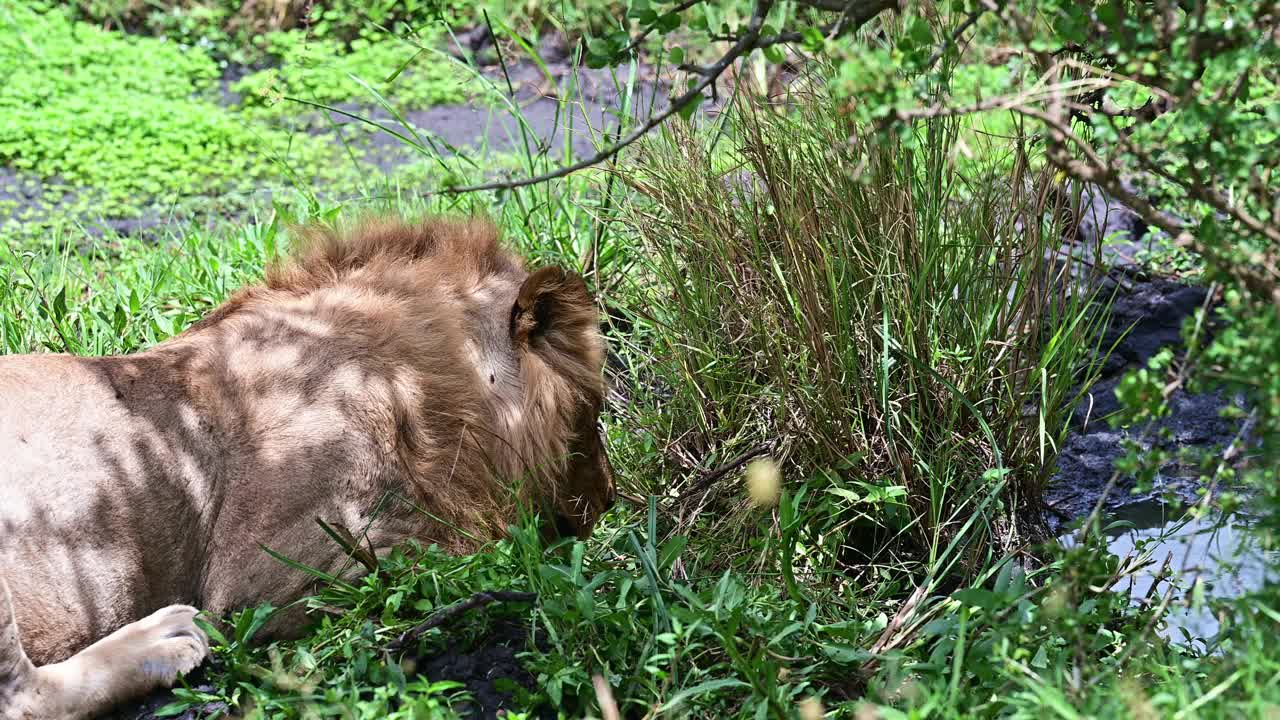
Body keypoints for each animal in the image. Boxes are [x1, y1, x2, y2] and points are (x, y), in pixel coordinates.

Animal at [0, 213, 614, 717]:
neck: (418, 381)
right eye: (594, 409)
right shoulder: (274, 577)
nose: (607, 504)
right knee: (24, 697)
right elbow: (482, 545)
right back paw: (163, 640)